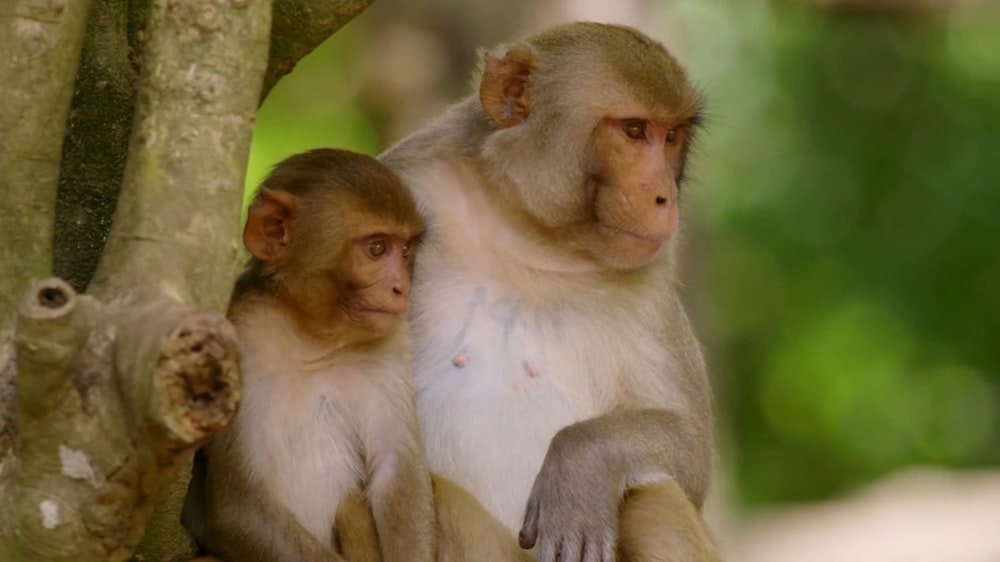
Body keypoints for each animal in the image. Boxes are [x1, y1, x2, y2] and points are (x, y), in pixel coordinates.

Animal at [184, 149, 434, 560]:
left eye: (405, 249)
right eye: (376, 248)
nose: (401, 287)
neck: (312, 339)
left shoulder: (392, 341)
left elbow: (397, 471)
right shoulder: (235, 340)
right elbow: (240, 506)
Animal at [336, 21, 720, 560]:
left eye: (672, 136)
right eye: (634, 131)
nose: (665, 196)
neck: (525, 229)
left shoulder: (652, 272)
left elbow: (691, 451)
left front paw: (581, 464)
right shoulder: (405, 180)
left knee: (655, 499)